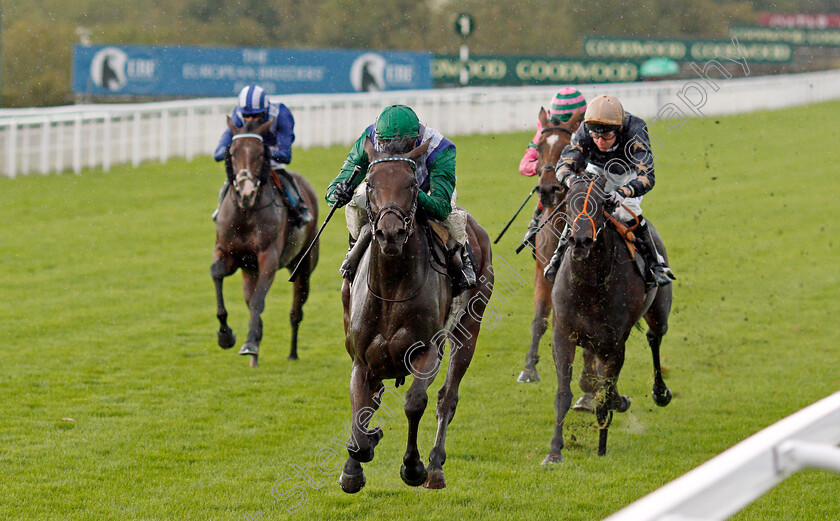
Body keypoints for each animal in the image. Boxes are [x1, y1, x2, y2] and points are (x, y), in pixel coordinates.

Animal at [212, 120, 320, 368]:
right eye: (233, 152)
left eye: (261, 153)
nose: (246, 193)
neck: (245, 213)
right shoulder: (228, 254)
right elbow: (217, 273)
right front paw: (225, 335)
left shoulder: (268, 257)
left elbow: (258, 302)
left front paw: (249, 343)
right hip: (248, 272)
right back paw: (255, 357)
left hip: (304, 265)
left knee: (296, 311)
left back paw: (291, 353)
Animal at [336, 136, 492, 490]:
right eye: (369, 182)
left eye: (410, 184)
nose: (390, 232)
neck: (392, 289)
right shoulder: (361, 358)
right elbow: (360, 409)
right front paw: (355, 463)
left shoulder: (427, 349)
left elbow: (415, 402)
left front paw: (413, 466)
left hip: (469, 326)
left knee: (447, 397)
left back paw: (434, 467)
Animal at [544, 175, 668, 464]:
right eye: (569, 201)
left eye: (601, 204)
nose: (580, 241)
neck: (590, 285)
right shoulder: (563, 335)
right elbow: (564, 394)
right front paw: (554, 451)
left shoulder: (614, 343)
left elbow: (604, 394)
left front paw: (601, 447)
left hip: (658, 313)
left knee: (654, 338)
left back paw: (660, 392)